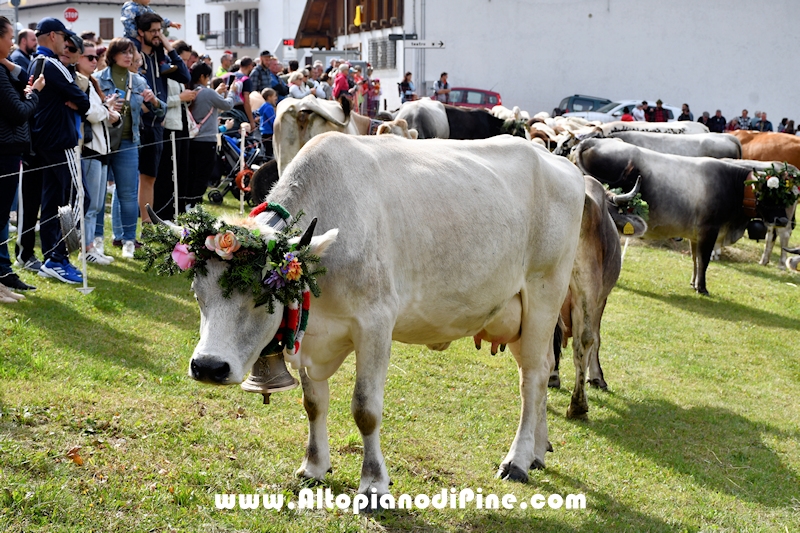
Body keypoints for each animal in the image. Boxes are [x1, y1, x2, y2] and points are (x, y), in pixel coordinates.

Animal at [183, 132, 588, 494]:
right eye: (197, 293)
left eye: (265, 292)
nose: (208, 366)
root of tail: (558, 161)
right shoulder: (310, 334)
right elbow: (313, 403)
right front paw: (313, 466)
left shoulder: (375, 324)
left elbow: (365, 408)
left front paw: (374, 484)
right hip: (516, 312)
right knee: (539, 373)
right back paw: (538, 451)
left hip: (544, 294)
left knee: (532, 378)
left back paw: (517, 461)